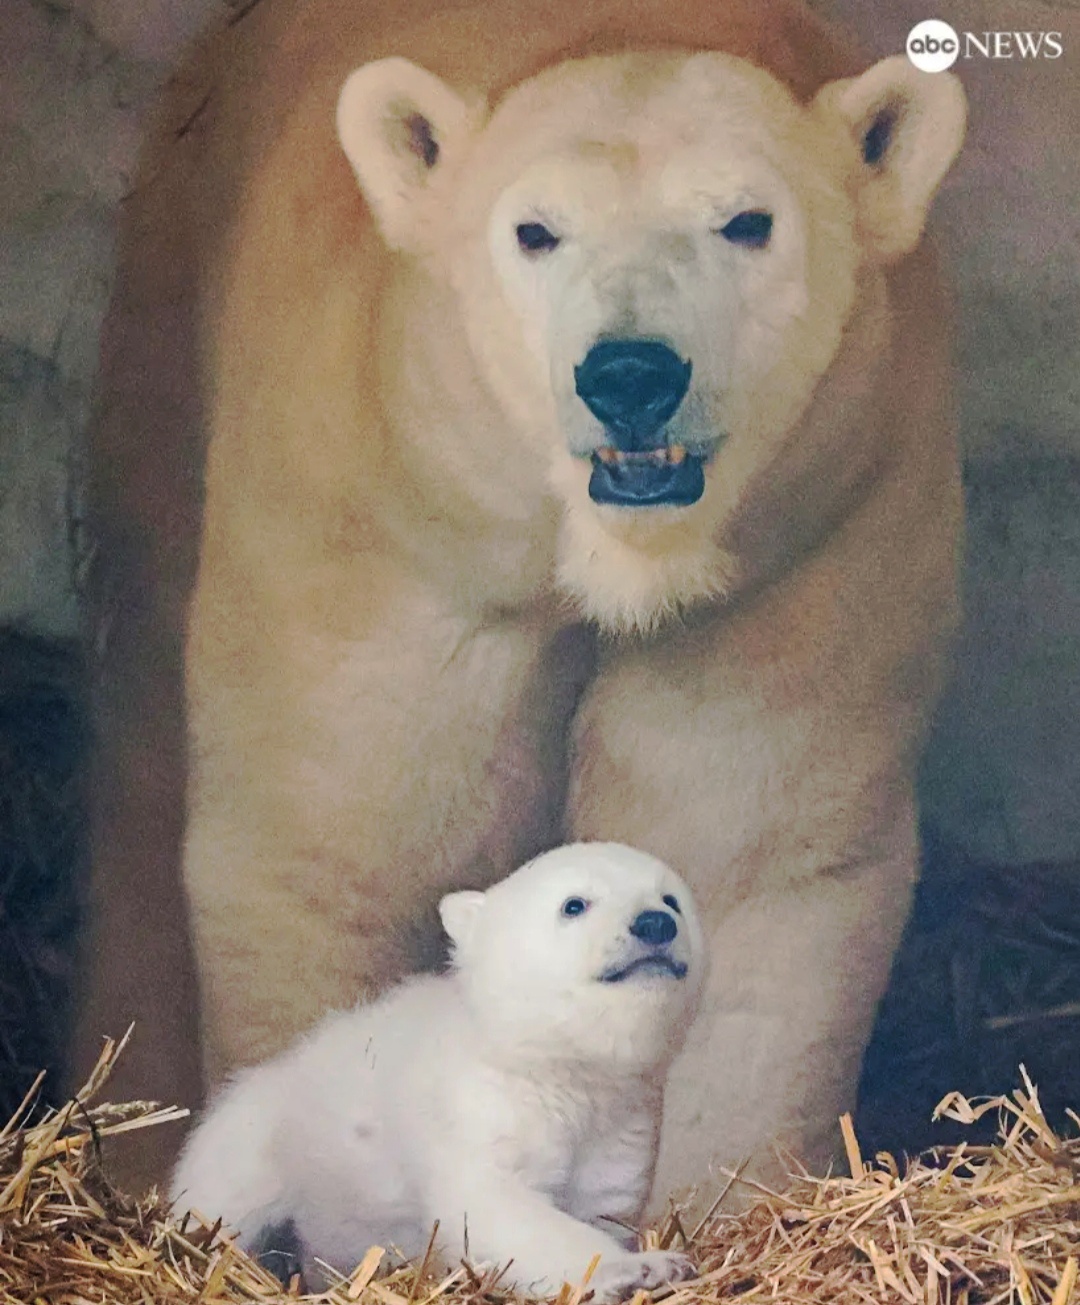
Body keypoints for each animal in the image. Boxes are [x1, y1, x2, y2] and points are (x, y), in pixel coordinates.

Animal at [77, 0, 970, 1200]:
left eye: (748, 222)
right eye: (535, 232)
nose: (631, 374)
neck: (617, 571)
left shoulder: (801, 549)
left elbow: (745, 864)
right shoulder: (384, 530)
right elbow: (329, 849)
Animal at [173, 845, 704, 1294]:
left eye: (671, 899)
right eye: (574, 904)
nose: (655, 923)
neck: (556, 1069)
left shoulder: (620, 1124)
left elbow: (602, 1203)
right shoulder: (478, 1106)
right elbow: (495, 1207)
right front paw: (643, 1267)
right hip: (255, 1139)